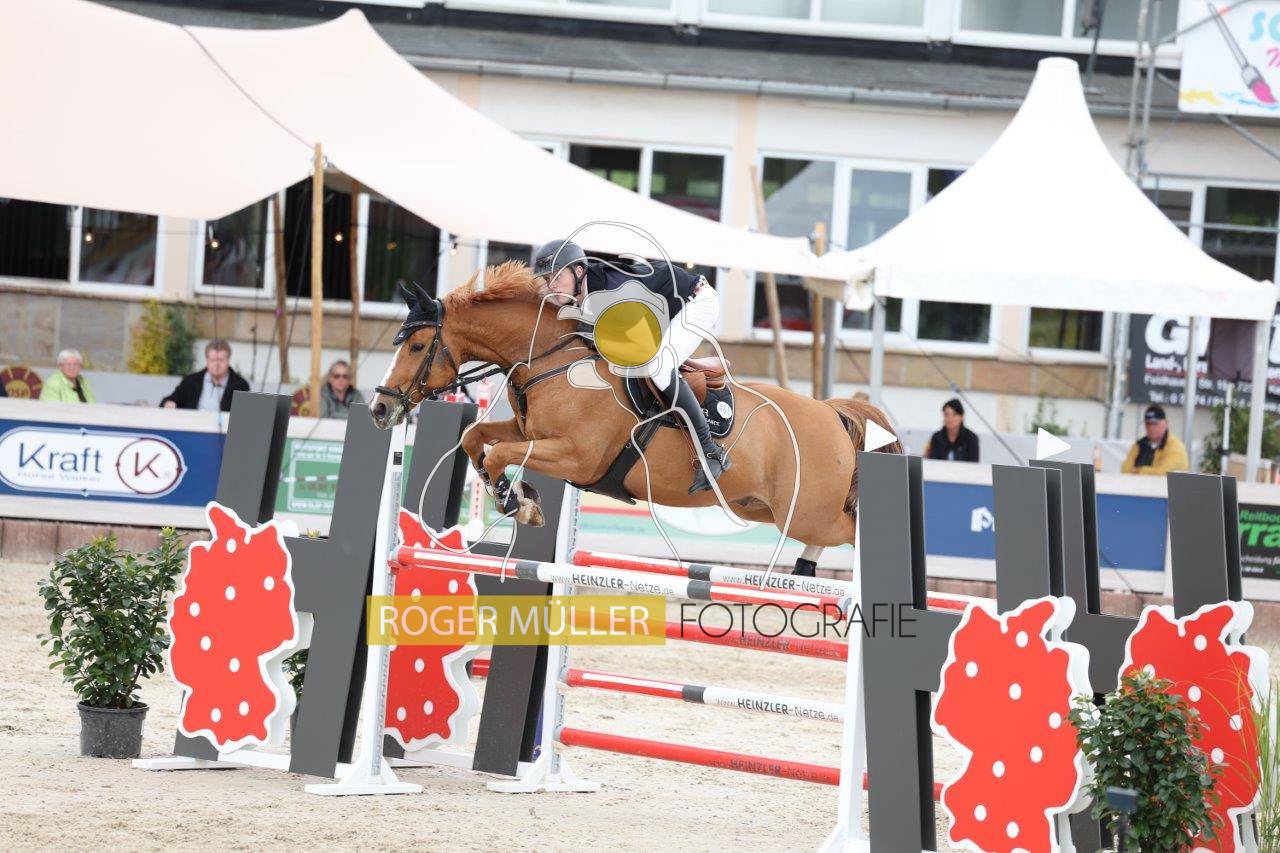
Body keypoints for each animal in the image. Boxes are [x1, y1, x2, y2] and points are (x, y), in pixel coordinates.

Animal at [371, 261, 901, 571]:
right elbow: (477, 439)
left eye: (417, 345)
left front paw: (517, 500)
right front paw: (519, 498)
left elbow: (500, 452)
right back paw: (804, 571)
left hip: (808, 513)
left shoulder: (577, 457)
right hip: (764, 507)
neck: (550, 359)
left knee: (850, 529)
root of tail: (830, 413)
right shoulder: (528, 432)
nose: (380, 407)